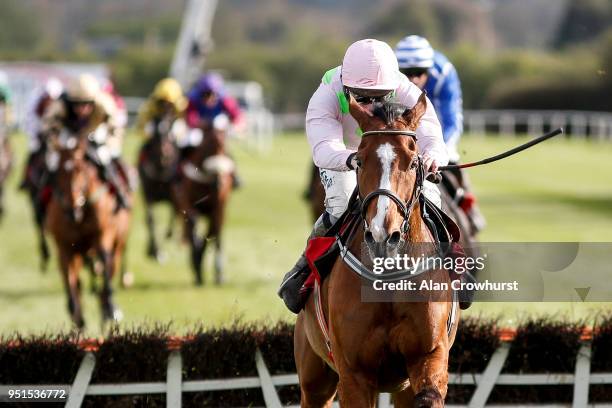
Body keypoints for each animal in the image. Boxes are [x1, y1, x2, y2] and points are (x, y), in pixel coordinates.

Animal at [46, 134, 131, 328]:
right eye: (58, 172)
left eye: (81, 169)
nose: (71, 209)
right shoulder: (64, 246)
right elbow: (70, 280)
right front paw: (76, 315)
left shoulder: (103, 237)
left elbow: (105, 267)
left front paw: (110, 308)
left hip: (119, 242)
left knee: (111, 266)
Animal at [137, 115, 179, 262]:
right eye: (156, 134)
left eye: (170, 130)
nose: (164, 153)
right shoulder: (148, 194)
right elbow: (151, 220)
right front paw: (155, 251)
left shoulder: (175, 193)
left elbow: (175, 213)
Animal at [294, 93, 456, 408]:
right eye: (358, 160)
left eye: (413, 162)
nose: (383, 235)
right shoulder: (354, 374)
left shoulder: (429, 355)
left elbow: (429, 394)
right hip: (314, 377)